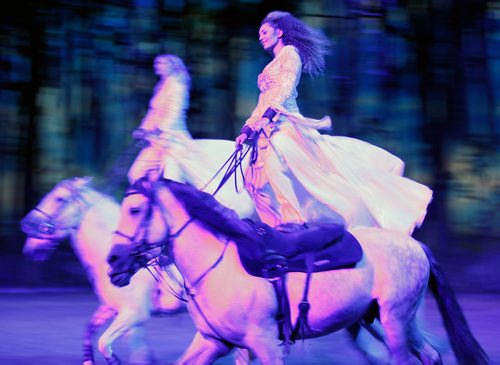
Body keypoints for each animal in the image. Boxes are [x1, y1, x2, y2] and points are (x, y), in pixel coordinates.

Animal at [106, 178, 488, 362]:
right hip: (384, 321)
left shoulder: (265, 344)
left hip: (396, 321)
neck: (218, 264)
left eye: (136, 210)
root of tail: (415, 246)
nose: (113, 262)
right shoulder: (216, 342)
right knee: (431, 355)